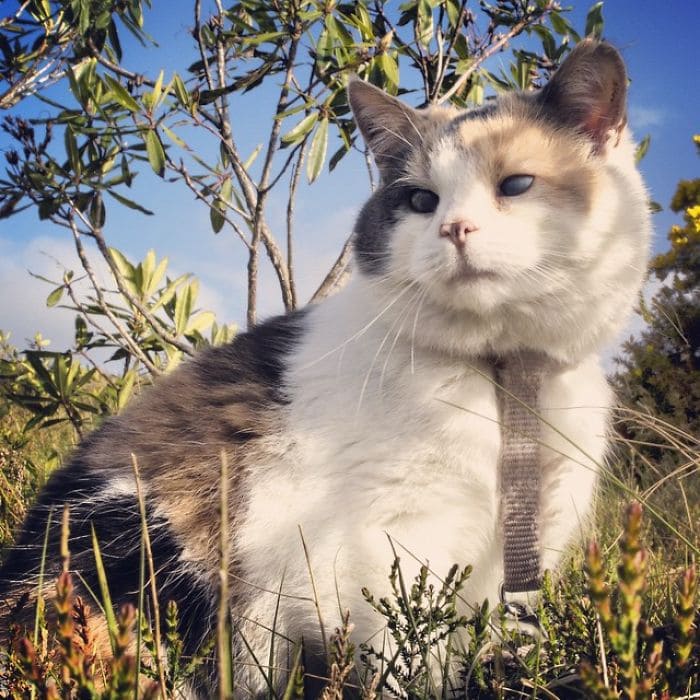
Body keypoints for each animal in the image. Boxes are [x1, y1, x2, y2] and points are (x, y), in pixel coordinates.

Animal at [1, 41, 652, 696]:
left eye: (516, 184)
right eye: (420, 200)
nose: (454, 228)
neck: (504, 380)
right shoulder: (392, 542)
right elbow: (409, 657)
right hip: (142, 552)